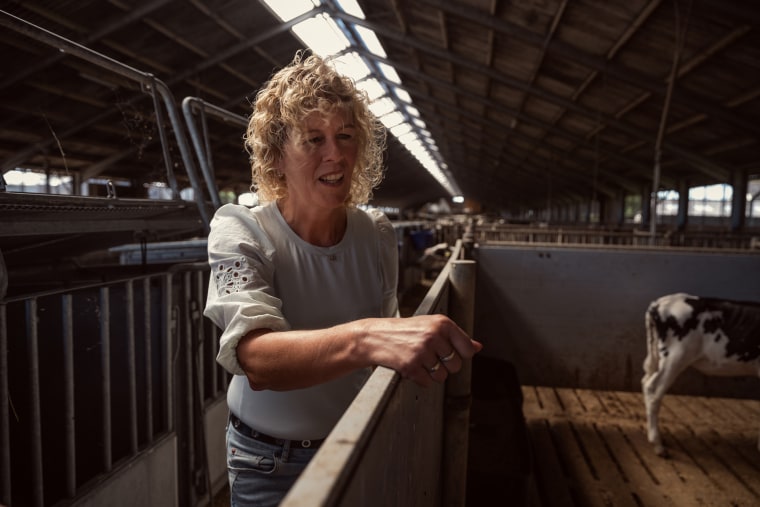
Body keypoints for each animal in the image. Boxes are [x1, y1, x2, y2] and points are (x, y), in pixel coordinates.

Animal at [640, 292, 760, 458]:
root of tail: (660, 302)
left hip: (658, 356)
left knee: (646, 380)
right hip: (675, 358)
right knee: (653, 389)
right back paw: (658, 444)